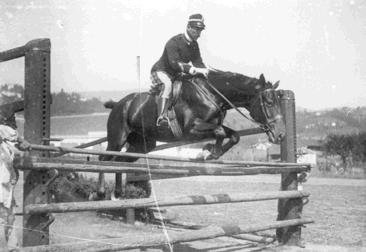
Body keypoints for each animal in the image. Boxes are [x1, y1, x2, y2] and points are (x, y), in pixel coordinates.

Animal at [98, 69, 286, 199]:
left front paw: (209, 151)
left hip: (141, 145)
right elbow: (219, 132)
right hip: (117, 138)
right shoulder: (191, 130)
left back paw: (117, 192)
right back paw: (101, 192)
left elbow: (233, 135)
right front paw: (208, 152)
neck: (211, 95)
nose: (280, 135)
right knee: (104, 158)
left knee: (119, 162)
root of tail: (119, 103)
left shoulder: (211, 126)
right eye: (269, 102)